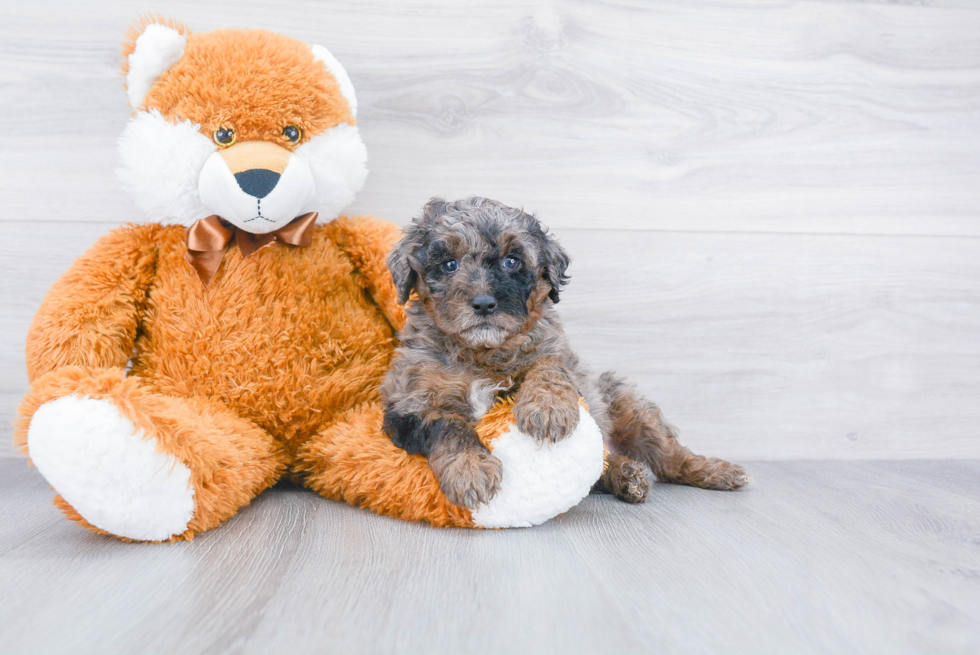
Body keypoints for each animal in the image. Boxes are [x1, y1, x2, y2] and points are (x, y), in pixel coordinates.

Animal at [382, 197, 752, 510]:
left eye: (512, 261)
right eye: (448, 264)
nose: (484, 304)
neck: (480, 353)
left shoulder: (559, 355)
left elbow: (548, 365)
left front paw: (548, 409)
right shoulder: (409, 403)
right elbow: (448, 426)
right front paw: (471, 472)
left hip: (626, 400)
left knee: (668, 457)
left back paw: (717, 471)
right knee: (602, 467)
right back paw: (626, 476)